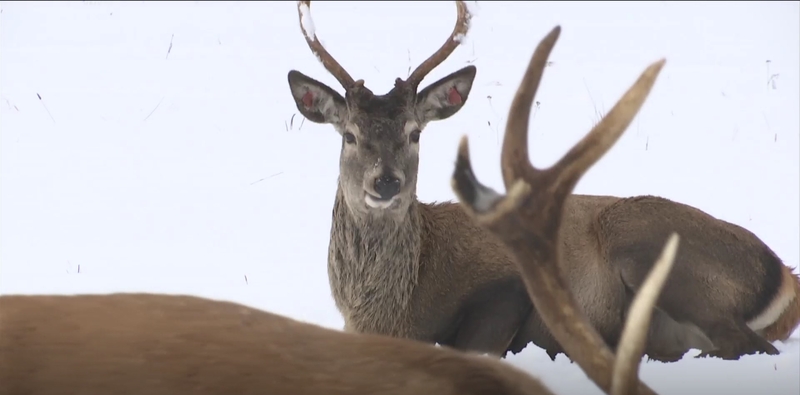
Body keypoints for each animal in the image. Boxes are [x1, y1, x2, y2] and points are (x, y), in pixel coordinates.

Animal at [288, 0, 800, 366]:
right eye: (350, 134)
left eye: (415, 133)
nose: (386, 182)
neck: (391, 310)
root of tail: (784, 277)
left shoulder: (509, 289)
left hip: (651, 247)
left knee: (750, 345)